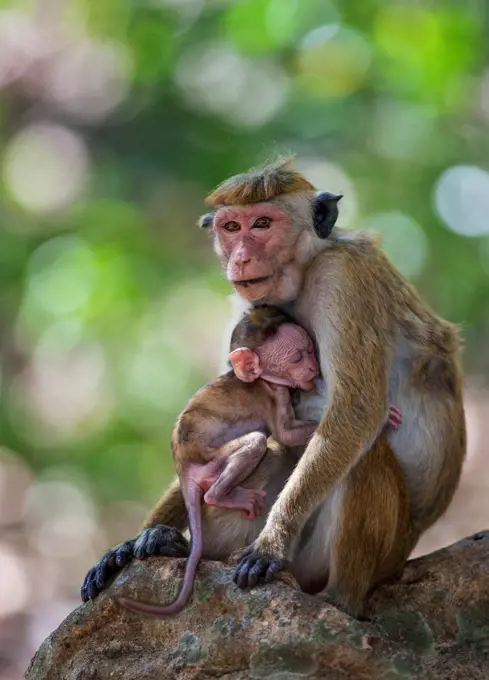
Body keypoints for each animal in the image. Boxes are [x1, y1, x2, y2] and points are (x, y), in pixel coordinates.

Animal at [82, 158, 464, 616]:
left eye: (263, 223)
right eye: (232, 227)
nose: (242, 256)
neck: (306, 269)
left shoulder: (344, 279)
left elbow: (355, 411)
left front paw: (271, 542)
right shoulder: (252, 306)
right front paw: (136, 541)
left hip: (354, 556)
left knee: (362, 452)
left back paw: (341, 601)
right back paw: (176, 545)